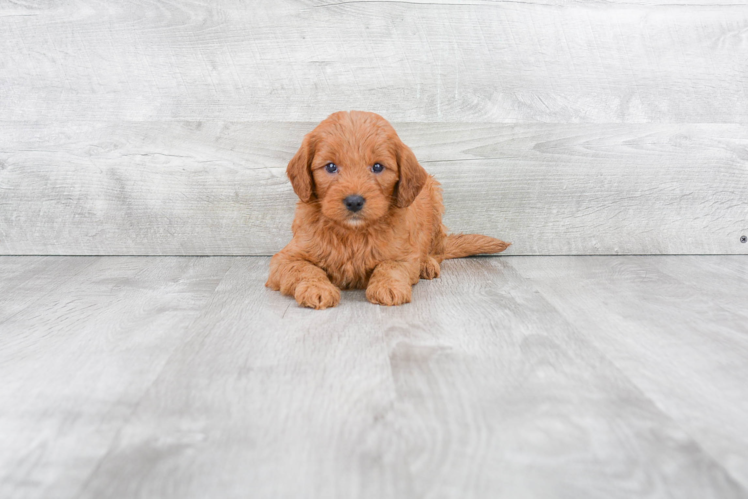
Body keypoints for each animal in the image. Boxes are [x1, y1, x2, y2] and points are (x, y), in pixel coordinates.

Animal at [264, 111, 508, 308]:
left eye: (378, 167)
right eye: (331, 166)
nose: (354, 201)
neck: (352, 234)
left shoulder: (403, 254)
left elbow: (389, 266)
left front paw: (388, 287)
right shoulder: (285, 258)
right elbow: (304, 269)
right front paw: (318, 288)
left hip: (435, 202)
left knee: (437, 250)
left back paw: (427, 263)